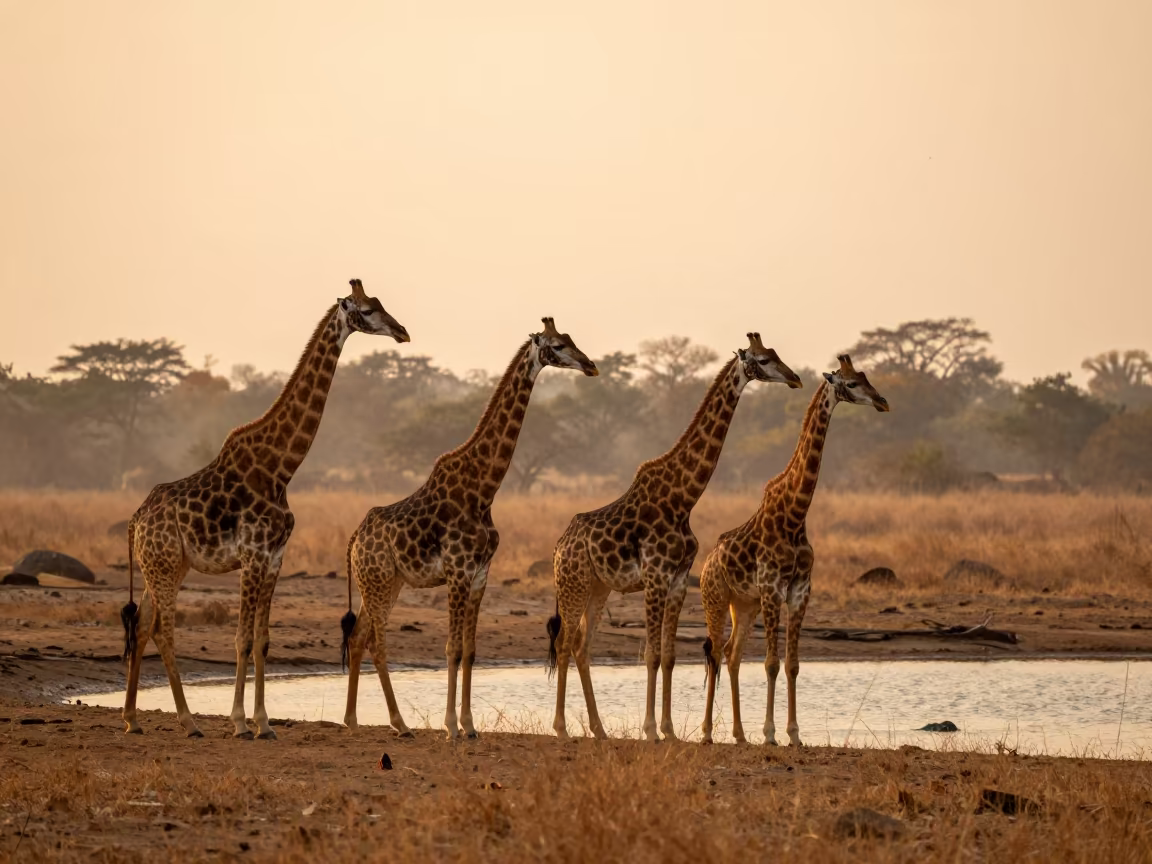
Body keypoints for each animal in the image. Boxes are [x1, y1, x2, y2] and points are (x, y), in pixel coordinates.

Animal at [120, 279, 409, 739]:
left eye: (381, 303)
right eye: (365, 310)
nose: (402, 332)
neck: (280, 468)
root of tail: (134, 521)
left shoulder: (274, 558)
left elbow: (263, 639)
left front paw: (264, 722)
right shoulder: (252, 555)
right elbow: (241, 638)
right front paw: (240, 722)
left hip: (164, 565)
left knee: (144, 623)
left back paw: (131, 718)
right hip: (162, 566)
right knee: (163, 630)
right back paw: (188, 721)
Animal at [341, 317, 598, 740]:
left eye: (572, 338)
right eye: (558, 345)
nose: (591, 366)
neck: (484, 490)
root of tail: (353, 541)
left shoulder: (480, 575)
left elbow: (471, 650)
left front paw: (470, 725)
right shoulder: (457, 572)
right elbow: (451, 648)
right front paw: (450, 726)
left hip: (384, 583)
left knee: (360, 637)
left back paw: (352, 719)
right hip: (376, 583)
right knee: (376, 642)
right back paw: (400, 723)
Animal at [547, 333, 802, 742]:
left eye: (776, 353)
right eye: (763, 359)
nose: (794, 377)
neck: (683, 499)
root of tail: (558, 546)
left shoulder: (678, 580)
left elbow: (668, 655)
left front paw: (668, 729)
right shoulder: (654, 577)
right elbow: (650, 654)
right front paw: (651, 729)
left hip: (598, 587)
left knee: (582, 646)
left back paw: (599, 729)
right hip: (573, 583)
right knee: (563, 642)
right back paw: (561, 728)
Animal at [699, 354, 889, 746]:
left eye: (865, 377)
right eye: (850, 383)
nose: (882, 401)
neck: (796, 512)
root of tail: (706, 563)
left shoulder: (800, 589)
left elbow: (793, 664)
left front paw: (795, 734)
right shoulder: (773, 588)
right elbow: (771, 663)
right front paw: (771, 733)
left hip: (745, 604)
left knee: (732, 654)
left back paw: (739, 735)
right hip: (716, 599)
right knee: (714, 654)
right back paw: (708, 733)